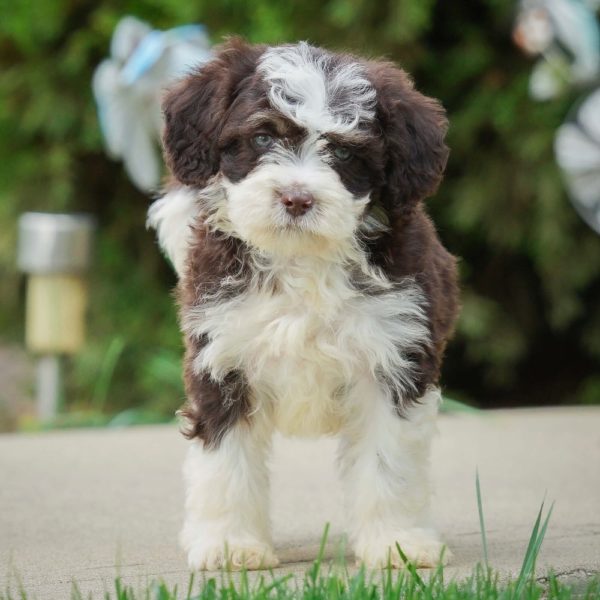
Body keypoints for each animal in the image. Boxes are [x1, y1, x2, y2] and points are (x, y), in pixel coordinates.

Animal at [150, 38, 460, 572]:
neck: (301, 259)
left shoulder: (394, 359)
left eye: (343, 151)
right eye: (260, 137)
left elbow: (388, 462)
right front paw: (230, 544)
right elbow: (226, 462)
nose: (296, 198)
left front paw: (396, 543)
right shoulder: (222, 357)